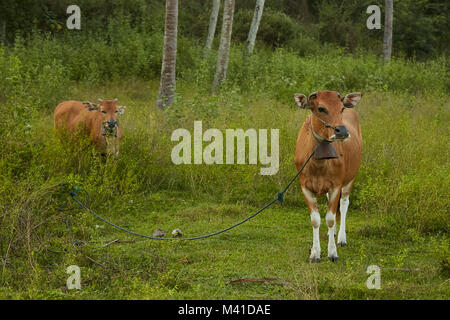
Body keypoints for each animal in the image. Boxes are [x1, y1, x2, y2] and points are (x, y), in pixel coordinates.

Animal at [294, 90, 364, 262]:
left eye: (341, 108)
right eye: (321, 108)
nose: (342, 131)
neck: (318, 164)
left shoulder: (336, 186)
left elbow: (330, 219)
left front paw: (332, 252)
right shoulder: (305, 187)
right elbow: (315, 220)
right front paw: (314, 253)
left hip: (350, 178)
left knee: (344, 204)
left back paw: (341, 238)